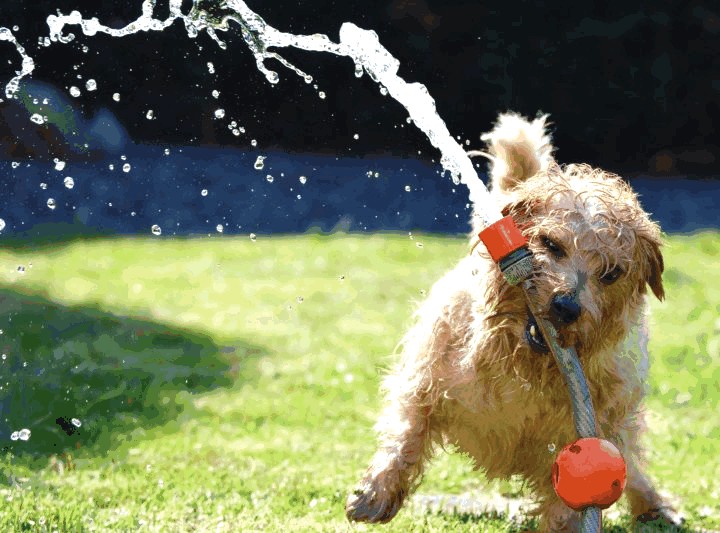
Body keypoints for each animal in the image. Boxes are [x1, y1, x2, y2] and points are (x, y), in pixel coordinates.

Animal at [344, 111, 680, 528]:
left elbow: (568, 502)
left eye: (611, 273)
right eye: (550, 244)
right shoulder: (424, 379)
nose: (566, 307)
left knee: (632, 466)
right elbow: (407, 433)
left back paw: (655, 506)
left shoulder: (585, 435)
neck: (523, 365)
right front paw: (376, 493)